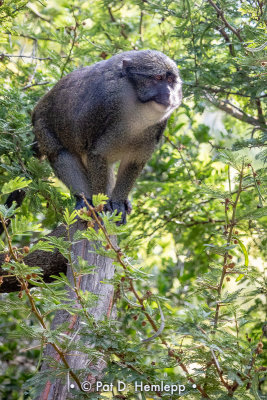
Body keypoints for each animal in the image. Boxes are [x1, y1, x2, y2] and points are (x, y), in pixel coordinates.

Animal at [34, 50, 184, 225]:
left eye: (170, 81)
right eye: (158, 78)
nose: (169, 93)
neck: (136, 105)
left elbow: (133, 162)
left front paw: (118, 202)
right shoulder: (106, 101)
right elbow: (97, 154)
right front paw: (102, 205)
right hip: (42, 125)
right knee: (60, 153)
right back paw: (84, 200)